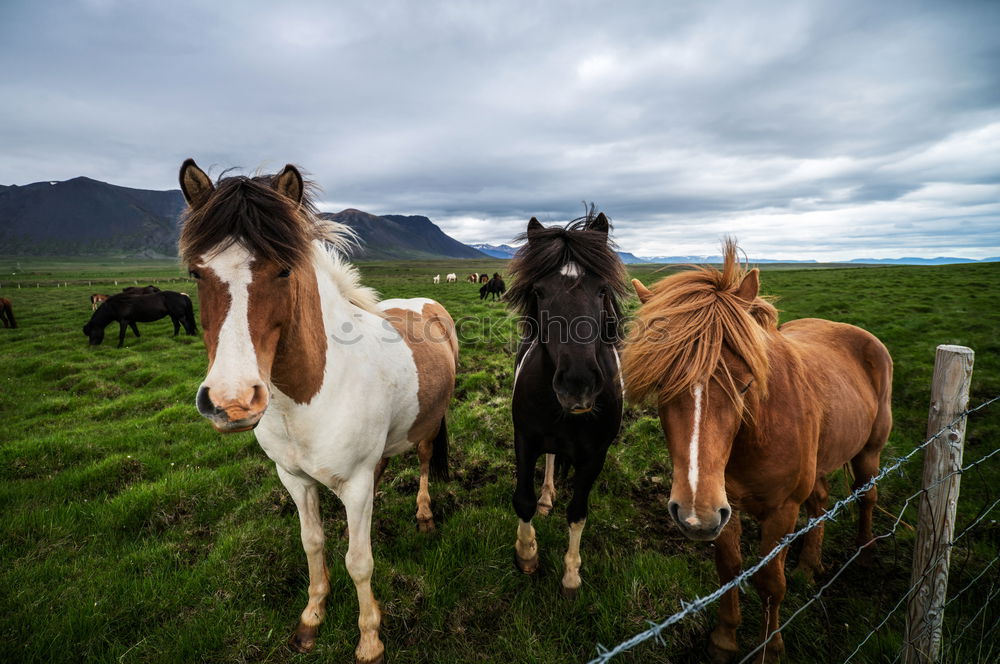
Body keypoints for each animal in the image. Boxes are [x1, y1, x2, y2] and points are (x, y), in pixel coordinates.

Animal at [178, 158, 458, 660]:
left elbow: (359, 561)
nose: (232, 401)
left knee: (426, 461)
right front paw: (311, 619)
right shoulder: (294, 479)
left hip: (427, 425)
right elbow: (313, 544)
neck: (305, 401)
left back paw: (425, 515)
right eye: (196, 272)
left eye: (284, 270)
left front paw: (370, 639)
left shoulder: (355, 485)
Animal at [508, 209, 624, 596]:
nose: (578, 385)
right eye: (539, 291)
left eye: (602, 289)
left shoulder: (595, 455)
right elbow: (523, 500)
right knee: (550, 459)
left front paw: (571, 575)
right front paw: (527, 554)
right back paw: (546, 497)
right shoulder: (525, 438)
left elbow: (578, 512)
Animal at [620, 240, 896, 664]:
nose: (693, 514)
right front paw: (724, 639)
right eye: (661, 384)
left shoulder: (780, 510)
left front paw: (771, 647)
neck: (755, 433)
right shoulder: (724, 506)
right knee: (820, 502)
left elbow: (770, 581)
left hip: (869, 451)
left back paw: (864, 552)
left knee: (866, 495)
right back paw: (809, 566)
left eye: (745, 382)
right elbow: (729, 567)